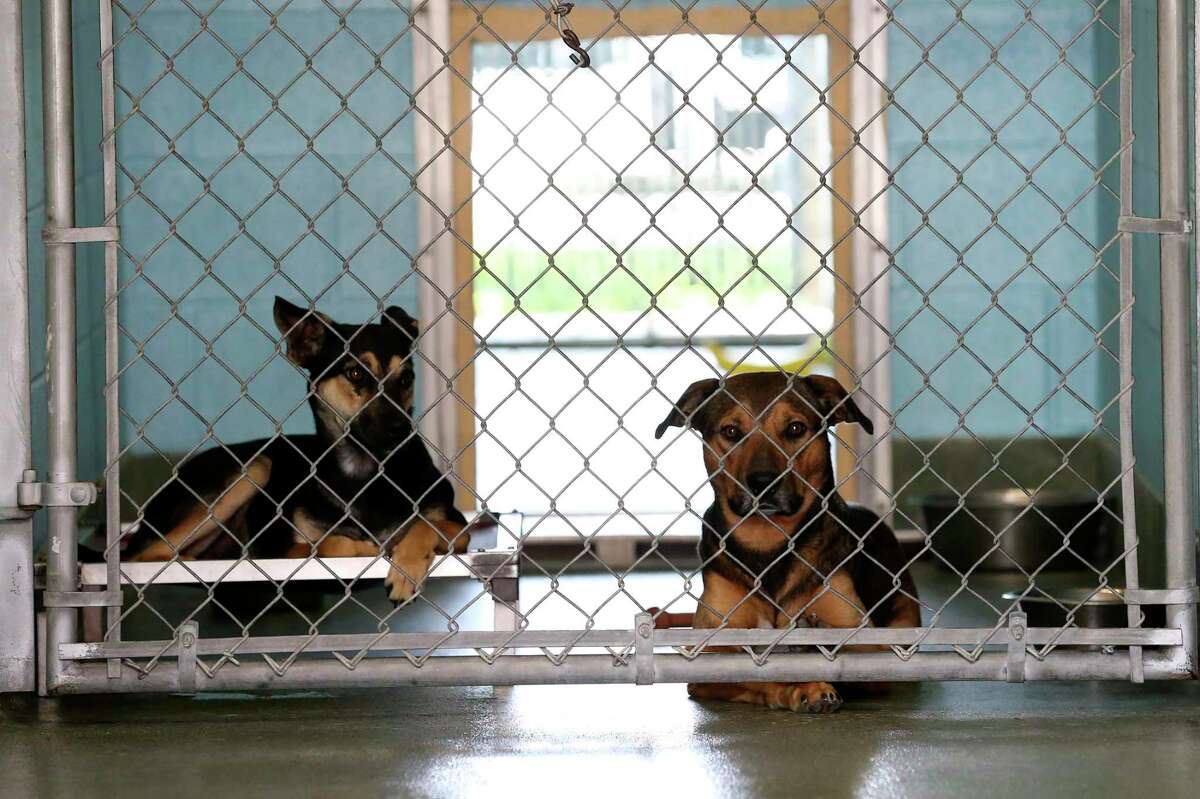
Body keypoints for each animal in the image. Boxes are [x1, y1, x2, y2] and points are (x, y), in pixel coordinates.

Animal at [126, 295, 468, 599]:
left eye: (406, 378)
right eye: (356, 372)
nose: (401, 429)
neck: (364, 471)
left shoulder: (459, 529)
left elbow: (426, 523)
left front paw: (406, 568)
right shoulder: (274, 548)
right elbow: (328, 543)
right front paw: (363, 547)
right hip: (255, 468)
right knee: (144, 554)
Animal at [657, 369, 916, 710]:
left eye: (795, 428)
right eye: (731, 431)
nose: (763, 482)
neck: (768, 541)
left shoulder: (873, 649)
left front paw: (811, 647)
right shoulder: (708, 657)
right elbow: (757, 672)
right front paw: (804, 687)